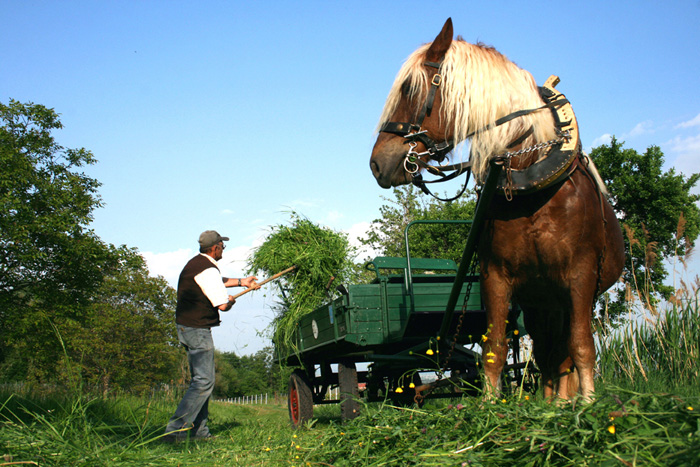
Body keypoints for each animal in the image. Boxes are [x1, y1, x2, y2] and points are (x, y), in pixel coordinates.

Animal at [370, 16, 628, 400]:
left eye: (409, 89)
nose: (377, 163)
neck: (530, 183)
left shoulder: (580, 276)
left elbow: (582, 345)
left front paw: (587, 404)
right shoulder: (496, 275)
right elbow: (494, 348)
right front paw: (491, 407)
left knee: (563, 351)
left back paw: (564, 402)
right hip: (540, 302)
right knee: (548, 352)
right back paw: (551, 402)